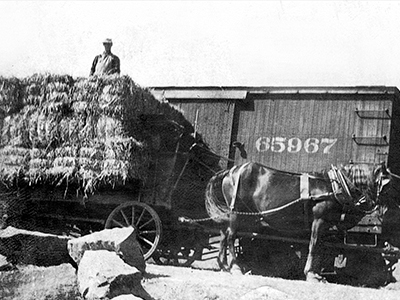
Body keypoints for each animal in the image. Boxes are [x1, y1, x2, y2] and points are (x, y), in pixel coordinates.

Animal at [206, 162, 396, 282]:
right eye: (389, 184)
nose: (391, 211)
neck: (334, 185)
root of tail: (232, 171)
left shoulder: (326, 225)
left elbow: (321, 247)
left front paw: (317, 273)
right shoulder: (319, 220)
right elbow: (313, 244)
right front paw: (310, 274)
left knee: (224, 235)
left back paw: (224, 265)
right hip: (238, 214)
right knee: (231, 237)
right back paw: (236, 267)